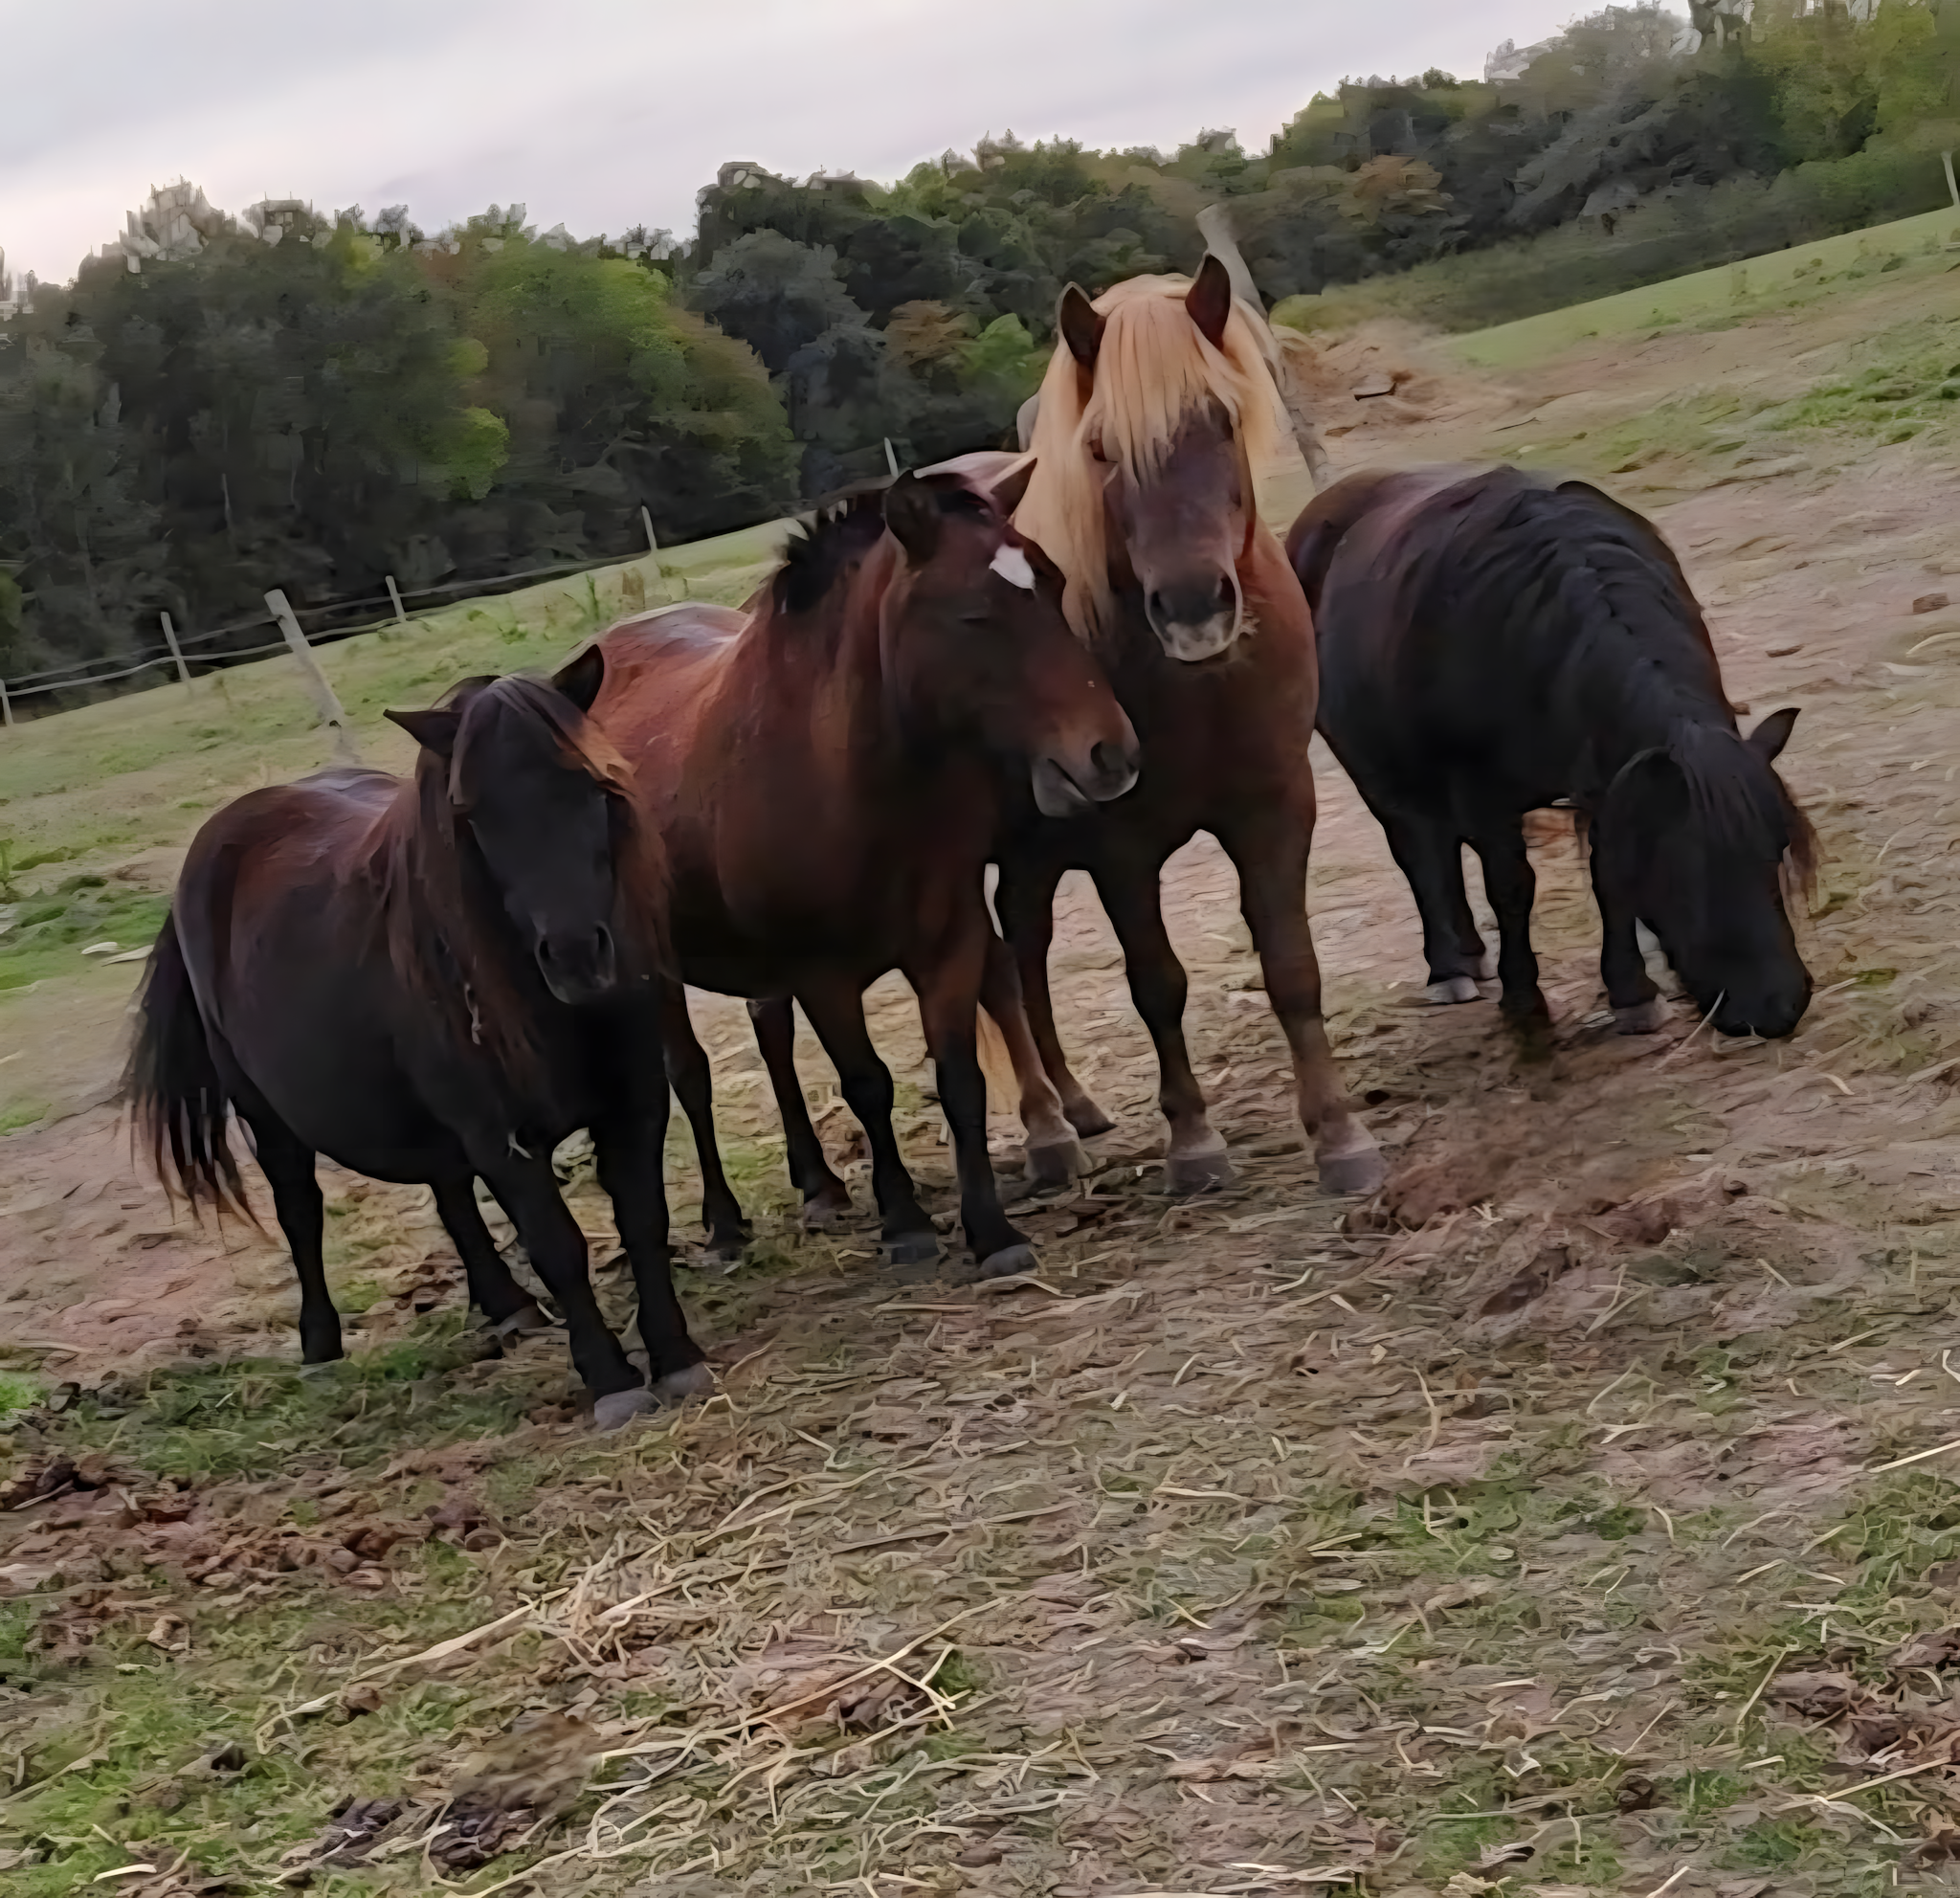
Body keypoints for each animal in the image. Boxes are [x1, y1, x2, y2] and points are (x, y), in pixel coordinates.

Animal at [127, 653, 710, 1431]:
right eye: (474, 815)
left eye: (592, 784)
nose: (577, 955)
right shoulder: (501, 1137)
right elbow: (558, 1246)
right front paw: (611, 1379)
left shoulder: (635, 1102)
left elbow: (644, 1218)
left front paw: (676, 1355)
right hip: (265, 1114)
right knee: (300, 1210)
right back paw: (320, 1345)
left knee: (449, 1192)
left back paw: (506, 1308)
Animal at [591, 469, 1139, 1277]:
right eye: (974, 614)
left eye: (1053, 581)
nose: (1112, 753)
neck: (848, 774)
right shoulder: (823, 971)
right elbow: (867, 1084)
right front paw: (905, 1219)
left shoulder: (946, 942)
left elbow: (959, 1076)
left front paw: (992, 1228)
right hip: (657, 968)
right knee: (690, 1075)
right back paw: (724, 1225)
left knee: (770, 1036)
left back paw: (819, 1184)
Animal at [968, 259, 1382, 1195]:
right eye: (1100, 450)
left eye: (1220, 419)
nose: (1194, 607)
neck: (1198, 686)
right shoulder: (1121, 848)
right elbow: (1157, 983)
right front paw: (1193, 1142)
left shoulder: (1275, 810)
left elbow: (1292, 966)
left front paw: (1340, 1134)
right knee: (999, 969)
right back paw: (1047, 1126)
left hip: (1033, 855)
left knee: (1026, 945)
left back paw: (1076, 1105)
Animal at [1286, 464, 1814, 1042]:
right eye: (1688, 867)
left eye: (1777, 849)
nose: (1778, 1006)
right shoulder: (1483, 795)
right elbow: (1511, 887)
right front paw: (1524, 1003)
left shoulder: (1611, 783)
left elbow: (1609, 878)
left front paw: (1632, 995)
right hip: (1377, 773)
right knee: (1417, 853)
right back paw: (1448, 968)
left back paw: (1469, 953)